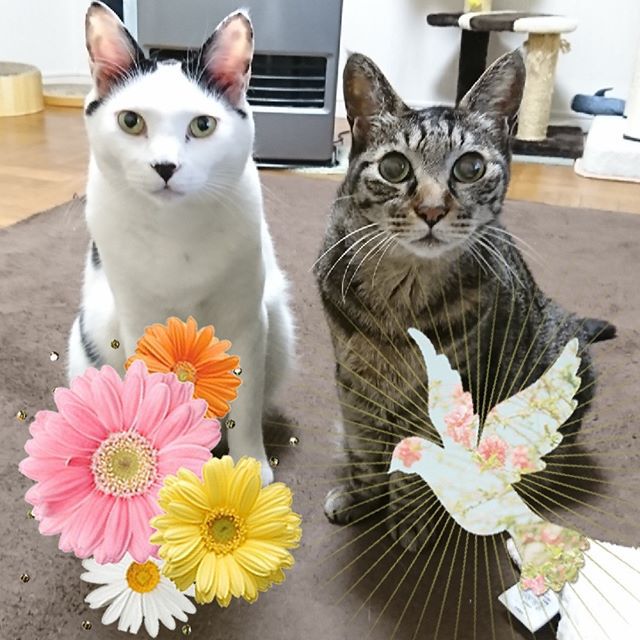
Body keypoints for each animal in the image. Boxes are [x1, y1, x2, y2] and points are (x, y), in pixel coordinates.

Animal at [68, 2, 294, 485]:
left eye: (203, 125)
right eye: (130, 121)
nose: (165, 166)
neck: (176, 231)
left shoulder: (246, 322)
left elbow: (244, 405)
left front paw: (249, 467)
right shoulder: (141, 324)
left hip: (278, 321)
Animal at [314, 51, 615, 547]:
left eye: (470, 167)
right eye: (394, 168)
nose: (432, 210)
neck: (402, 295)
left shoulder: (455, 386)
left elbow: (416, 463)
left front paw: (410, 523)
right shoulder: (354, 378)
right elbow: (364, 445)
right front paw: (362, 496)